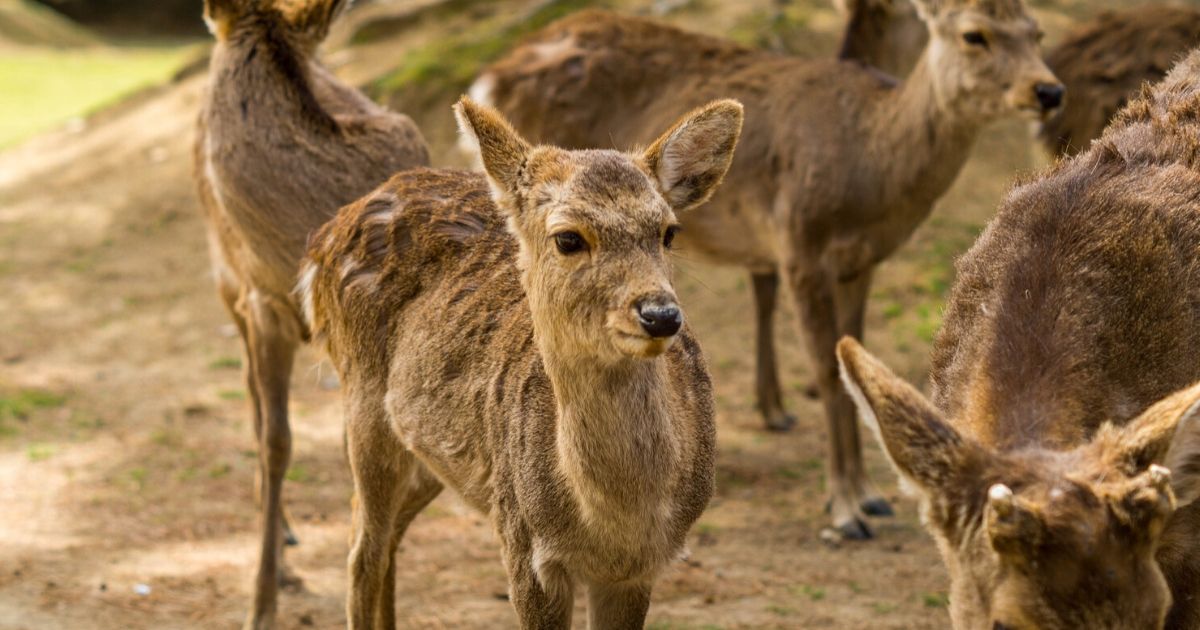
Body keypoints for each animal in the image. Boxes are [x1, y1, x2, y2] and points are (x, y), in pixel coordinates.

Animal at [189, 2, 429, 624]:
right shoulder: (260, 303)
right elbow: (277, 441)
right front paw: (261, 604)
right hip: (227, 285)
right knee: (253, 405)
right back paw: (281, 544)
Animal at [300, 96, 739, 624]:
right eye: (568, 238)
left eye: (669, 232)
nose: (661, 315)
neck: (616, 524)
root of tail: (326, 235)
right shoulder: (524, 544)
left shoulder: (641, 569)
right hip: (363, 403)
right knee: (362, 550)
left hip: (432, 452)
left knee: (376, 534)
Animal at [472, 1, 1065, 540]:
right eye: (974, 34)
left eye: (1037, 30)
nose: (1049, 91)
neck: (875, 173)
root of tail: (492, 75)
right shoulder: (800, 244)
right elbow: (825, 369)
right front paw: (846, 509)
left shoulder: (862, 261)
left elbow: (851, 352)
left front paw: (868, 494)